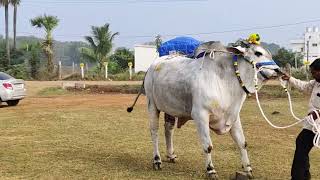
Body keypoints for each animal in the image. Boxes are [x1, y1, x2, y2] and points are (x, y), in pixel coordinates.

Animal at [127, 41, 280, 179]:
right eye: (258, 53)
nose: (278, 71)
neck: (225, 79)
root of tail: (152, 66)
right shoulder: (200, 115)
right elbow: (208, 146)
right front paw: (211, 170)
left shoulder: (234, 116)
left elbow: (242, 143)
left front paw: (248, 169)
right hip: (152, 105)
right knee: (154, 132)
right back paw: (157, 160)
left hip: (169, 108)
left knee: (168, 129)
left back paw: (171, 155)